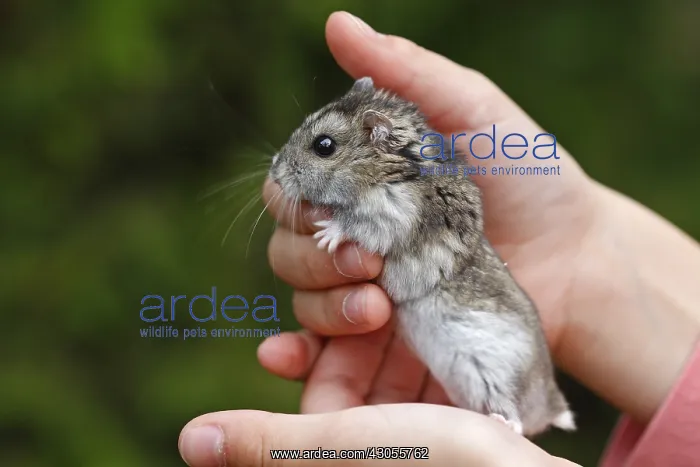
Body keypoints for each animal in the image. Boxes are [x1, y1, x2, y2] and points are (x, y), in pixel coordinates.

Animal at [268, 76, 576, 437]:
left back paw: (500, 421)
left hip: (499, 377)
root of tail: (553, 405)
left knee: (516, 419)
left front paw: (325, 234)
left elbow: (355, 225)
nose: (274, 172)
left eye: (324, 145)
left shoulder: (392, 216)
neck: (390, 169)